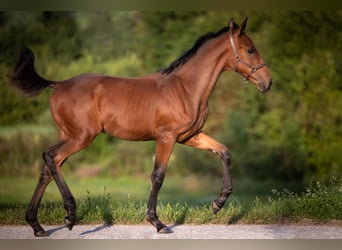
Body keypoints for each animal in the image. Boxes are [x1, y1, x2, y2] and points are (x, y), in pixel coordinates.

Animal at [7, 17, 272, 236]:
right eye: (250, 49)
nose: (268, 82)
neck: (186, 88)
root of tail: (58, 84)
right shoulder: (167, 137)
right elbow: (158, 176)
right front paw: (157, 222)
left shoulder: (191, 136)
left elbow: (224, 152)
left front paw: (218, 204)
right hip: (81, 137)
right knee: (51, 158)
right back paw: (70, 215)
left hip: (70, 135)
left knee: (48, 167)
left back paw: (37, 226)